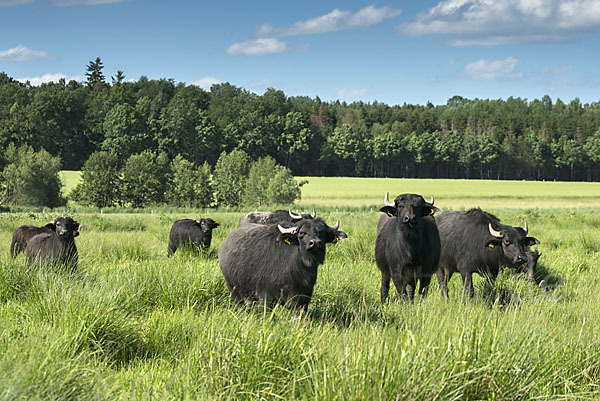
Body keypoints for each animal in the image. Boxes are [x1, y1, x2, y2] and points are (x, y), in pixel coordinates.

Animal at [218, 217, 346, 310]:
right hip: (233, 289)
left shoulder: (304, 298)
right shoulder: (265, 297)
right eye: (302, 233)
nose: (314, 243)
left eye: (322, 232)